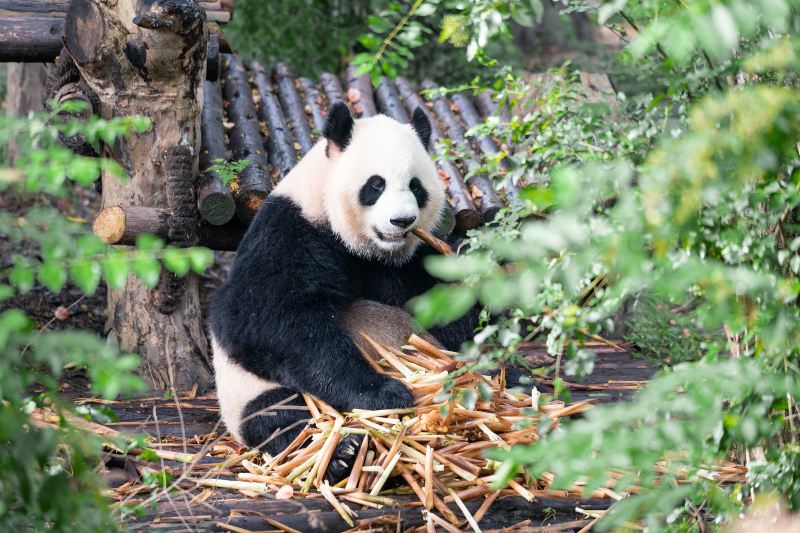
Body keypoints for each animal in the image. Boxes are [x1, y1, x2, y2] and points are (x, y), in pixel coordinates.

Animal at [209, 101, 478, 478]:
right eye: (375, 185)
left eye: (416, 186)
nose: (402, 221)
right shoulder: (290, 232)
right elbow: (261, 318)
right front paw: (384, 394)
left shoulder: (408, 261)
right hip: (246, 390)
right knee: (278, 415)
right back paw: (341, 453)